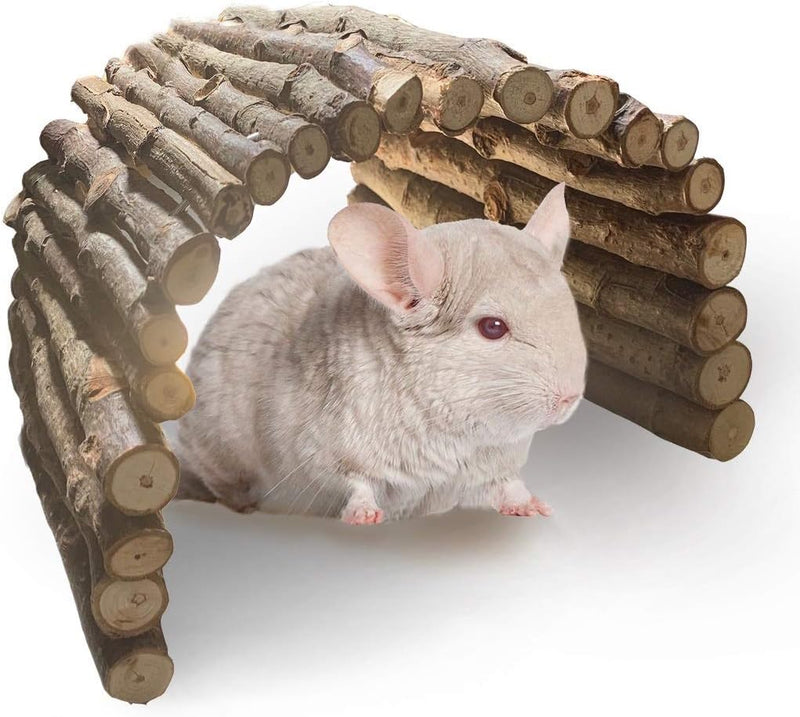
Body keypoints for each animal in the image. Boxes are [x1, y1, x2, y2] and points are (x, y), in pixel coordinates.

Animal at [174, 182, 587, 524]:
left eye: (567, 307)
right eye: (493, 327)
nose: (570, 398)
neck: (453, 432)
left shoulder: (490, 468)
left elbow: (507, 486)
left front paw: (535, 506)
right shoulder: (323, 454)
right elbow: (354, 483)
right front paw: (365, 517)